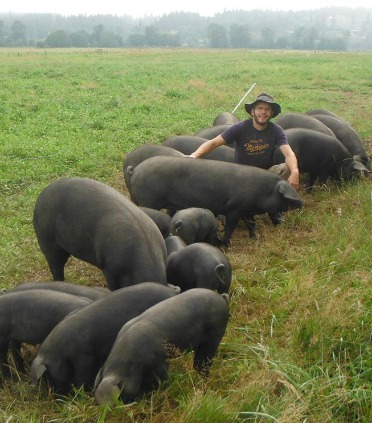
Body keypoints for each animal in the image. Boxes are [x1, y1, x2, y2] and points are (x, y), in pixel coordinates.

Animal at [30, 284, 179, 396]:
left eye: (49, 375)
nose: (57, 395)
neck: (60, 349)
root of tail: (172, 292)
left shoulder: (84, 356)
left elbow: (83, 375)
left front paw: (82, 391)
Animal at [94, 290, 228, 406]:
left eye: (120, 395)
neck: (131, 364)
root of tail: (221, 297)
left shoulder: (160, 361)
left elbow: (163, 379)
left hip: (215, 334)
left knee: (203, 361)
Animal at [129, 157, 304, 245]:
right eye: (284, 196)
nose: (301, 203)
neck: (262, 192)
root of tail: (136, 170)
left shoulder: (247, 210)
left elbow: (251, 224)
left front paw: (255, 239)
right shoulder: (235, 208)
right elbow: (230, 227)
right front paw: (227, 244)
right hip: (149, 200)